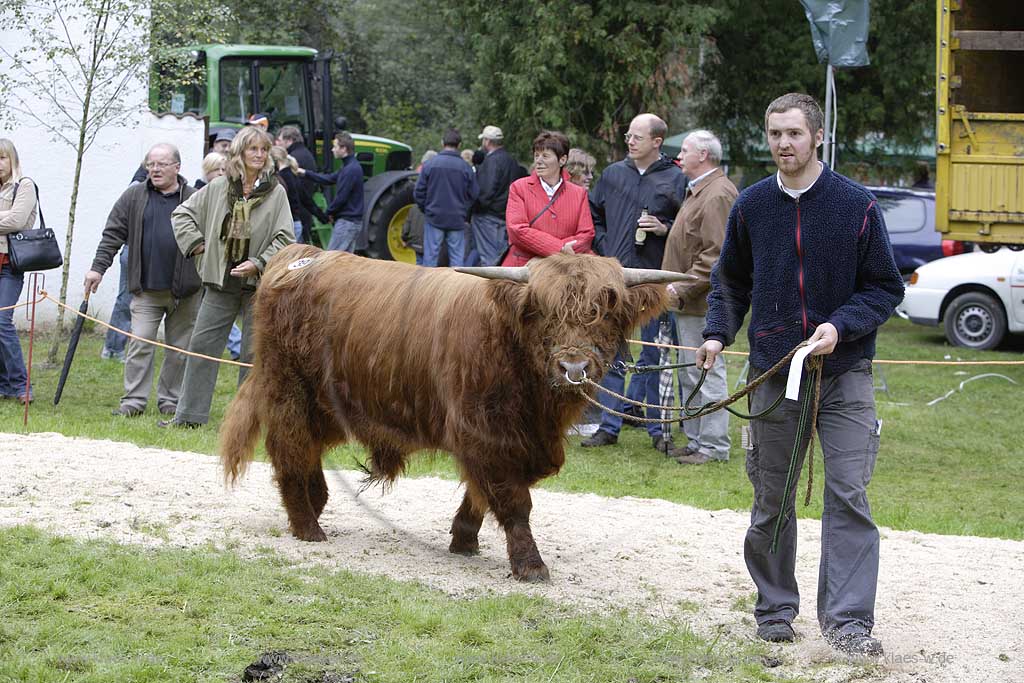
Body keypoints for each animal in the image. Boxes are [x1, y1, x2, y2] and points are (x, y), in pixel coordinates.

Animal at [222, 245, 688, 581]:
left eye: (604, 312)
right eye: (542, 312)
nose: (573, 367)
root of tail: (299, 255)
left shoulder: (515, 440)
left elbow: (480, 494)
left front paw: (463, 540)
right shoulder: (485, 432)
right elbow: (513, 500)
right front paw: (530, 565)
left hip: (325, 404)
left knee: (309, 450)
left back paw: (315, 504)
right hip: (288, 388)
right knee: (289, 448)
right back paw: (307, 526)